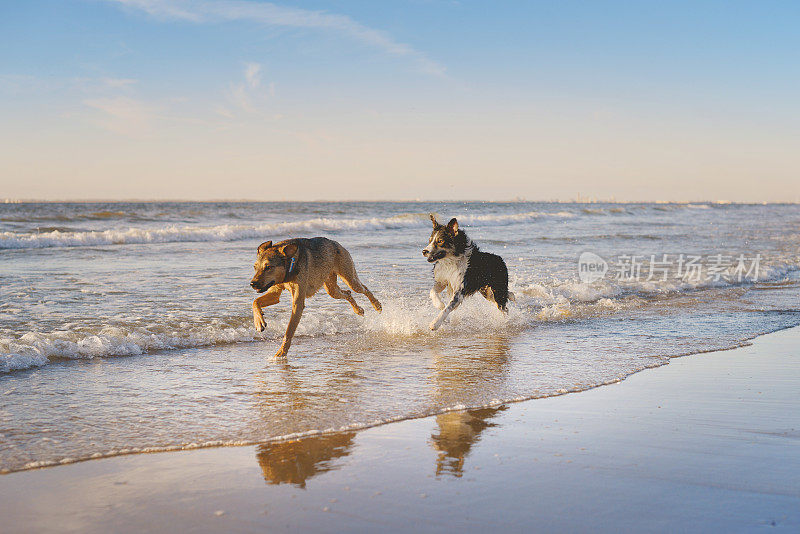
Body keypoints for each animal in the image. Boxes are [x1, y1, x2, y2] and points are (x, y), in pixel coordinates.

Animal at [250, 239, 382, 360]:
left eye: (268, 267)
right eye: (255, 267)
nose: (252, 284)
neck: (289, 268)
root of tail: (336, 243)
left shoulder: (297, 303)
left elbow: (289, 332)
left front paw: (281, 353)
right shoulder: (275, 291)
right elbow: (255, 302)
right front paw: (259, 322)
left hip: (350, 279)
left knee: (363, 289)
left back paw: (377, 305)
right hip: (331, 288)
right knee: (348, 293)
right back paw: (358, 309)